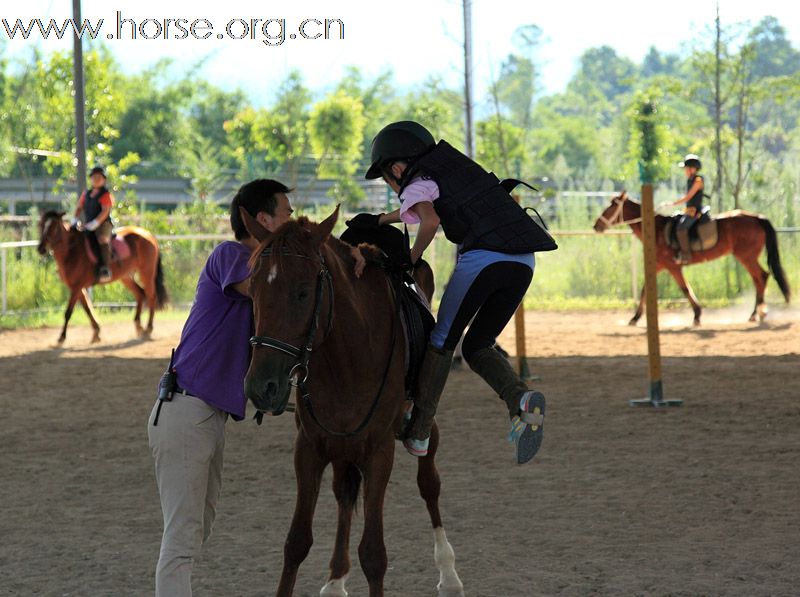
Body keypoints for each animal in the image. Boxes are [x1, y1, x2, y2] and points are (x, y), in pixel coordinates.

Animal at [37, 210, 167, 342]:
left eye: (53, 227)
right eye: (41, 225)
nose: (41, 248)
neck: (72, 251)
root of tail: (148, 234)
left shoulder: (76, 287)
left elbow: (68, 312)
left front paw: (62, 337)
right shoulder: (78, 288)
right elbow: (87, 309)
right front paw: (96, 332)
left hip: (147, 272)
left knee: (151, 296)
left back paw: (148, 329)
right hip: (125, 276)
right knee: (140, 293)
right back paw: (139, 327)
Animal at [241, 205, 462, 596]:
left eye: (302, 293)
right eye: (253, 290)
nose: (260, 387)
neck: (346, 357)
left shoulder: (378, 452)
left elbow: (373, 554)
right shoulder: (310, 448)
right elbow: (296, 542)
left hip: (424, 425)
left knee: (429, 484)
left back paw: (448, 575)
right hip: (341, 447)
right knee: (344, 494)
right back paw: (335, 581)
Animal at [592, 193, 788, 326]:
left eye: (611, 207)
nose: (596, 225)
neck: (655, 230)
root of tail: (756, 217)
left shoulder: (672, 267)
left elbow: (685, 289)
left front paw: (697, 315)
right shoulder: (657, 266)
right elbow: (644, 290)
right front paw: (635, 317)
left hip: (746, 257)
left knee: (761, 277)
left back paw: (757, 313)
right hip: (747, 257)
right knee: (759, 279)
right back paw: (758, 313)